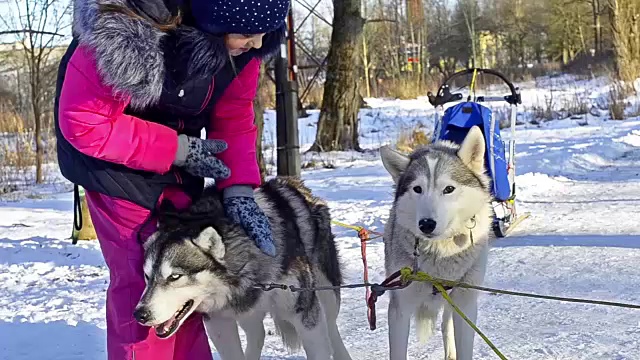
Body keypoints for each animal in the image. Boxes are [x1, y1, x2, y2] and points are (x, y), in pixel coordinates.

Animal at [134, 177, 350, 360]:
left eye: (175, 276)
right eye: (147, 276)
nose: (140, 314)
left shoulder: (305, 317)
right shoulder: (219, 322)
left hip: (326, 292)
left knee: (331, 328)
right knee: (258, 334)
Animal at [380, 126, 496, 360]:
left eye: (448, 189)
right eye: (417, 189)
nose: (426, 224)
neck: (442, 253)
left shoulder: (465, 304)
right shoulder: (400, 308)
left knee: (446, 325)